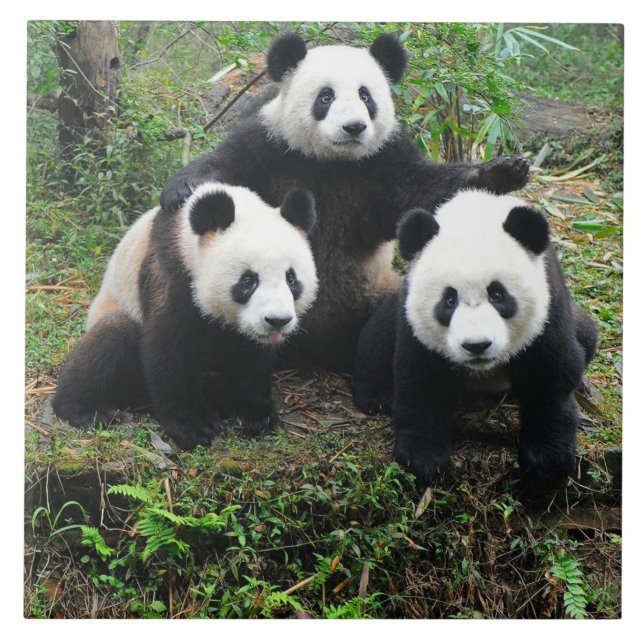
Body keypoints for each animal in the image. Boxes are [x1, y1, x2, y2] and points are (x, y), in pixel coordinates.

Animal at [52, 184, 318, 449]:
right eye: (248, 281)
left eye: (291, 278)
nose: (277, 321)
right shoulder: (172, 270)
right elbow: (170, 348)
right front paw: (194, 427)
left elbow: (251, 356)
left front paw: (255, 413)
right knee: (110, 337)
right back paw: (84, 409)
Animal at [158, 32, 530, 370]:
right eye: (326, 96)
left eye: (366, 95)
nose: (354, 127)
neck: (332, 160)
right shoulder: (269, 146)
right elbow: (226, 166)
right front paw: (181, 190)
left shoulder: (384, 161)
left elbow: (421, 192)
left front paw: (502, 172)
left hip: (377, 291)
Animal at [352, 190, 598, 488]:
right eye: (449, 300)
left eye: (497, 294)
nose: (476, 345)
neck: (476, 214)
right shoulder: (413, 317)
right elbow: (420, 376)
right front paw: (423, 457)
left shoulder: (549, 303)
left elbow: (552, 372)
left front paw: (547, 459)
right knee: (378, 338)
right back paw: (376, 396)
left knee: (587, 336)